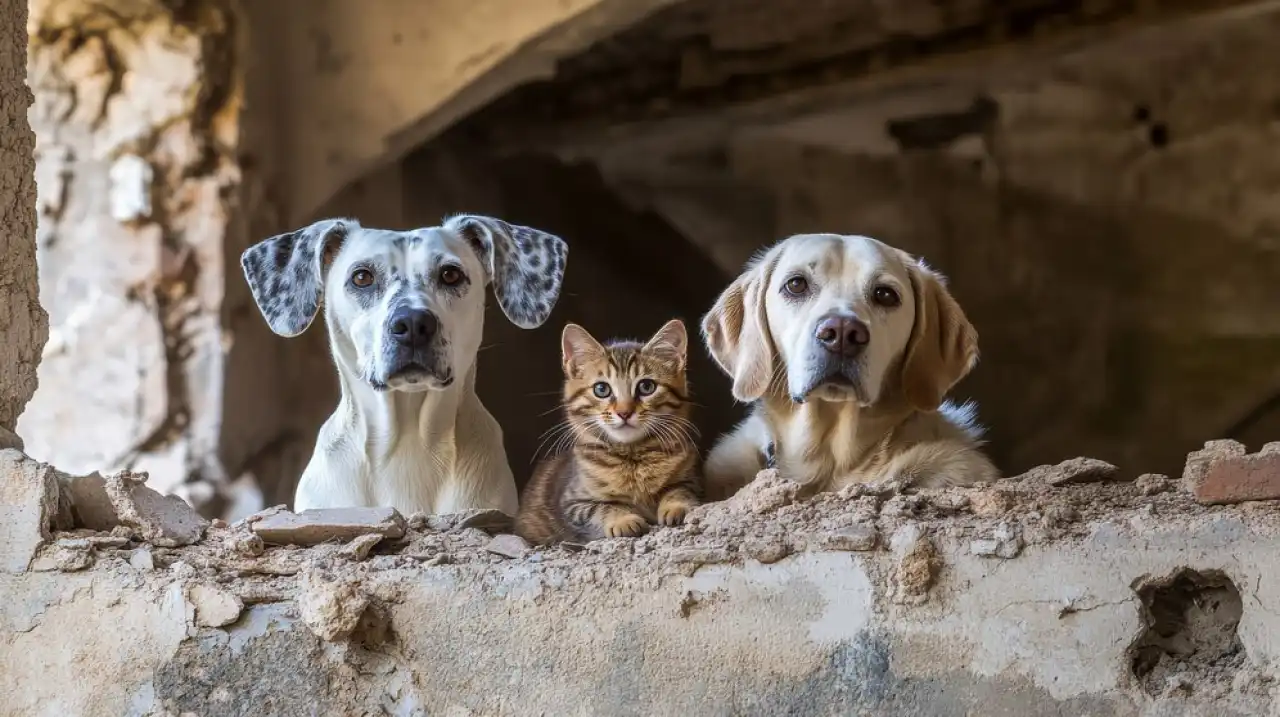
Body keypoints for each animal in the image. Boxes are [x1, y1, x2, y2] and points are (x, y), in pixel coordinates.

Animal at [517, 318, 706, 542]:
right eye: (601, 389)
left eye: (646, 387)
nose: (624, 412)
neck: (632, 456)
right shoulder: (572, 504)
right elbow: (600, 507)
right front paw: (623, 520)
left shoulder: (693, 479)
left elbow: (681, 489)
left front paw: (677, 507)